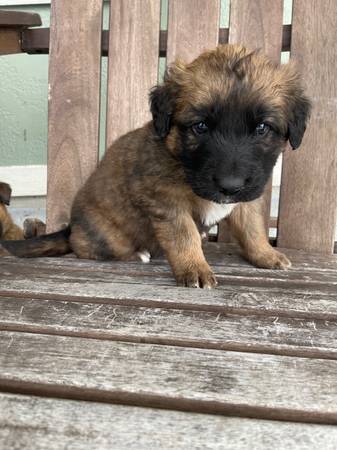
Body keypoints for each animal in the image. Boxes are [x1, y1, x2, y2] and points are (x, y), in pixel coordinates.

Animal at [0, 44, 310, 288]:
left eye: (262, 128)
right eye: (200, 126)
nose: (229, 186)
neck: (182, 163)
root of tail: (72, 226)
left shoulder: (247, 196)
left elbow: (252, 228)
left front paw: (265, 254)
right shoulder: (167, 203)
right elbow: (184, 236)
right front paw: (194, 268)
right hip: (107, 236)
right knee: (84, 247)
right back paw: (136, 254)